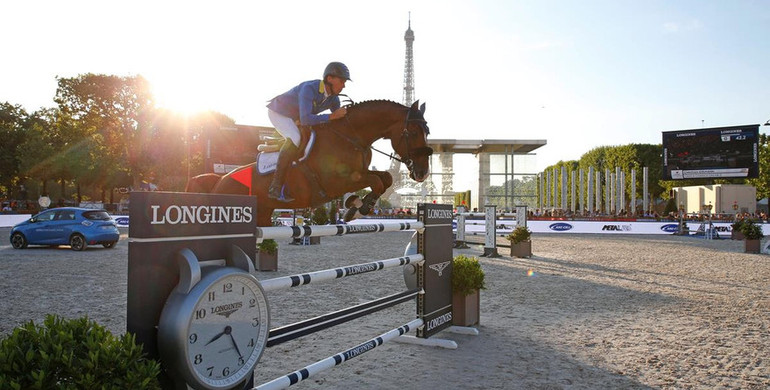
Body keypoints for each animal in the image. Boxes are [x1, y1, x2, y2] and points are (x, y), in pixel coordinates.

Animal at [184, 100, 432, 227]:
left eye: (427, 131)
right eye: (413, 131)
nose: (422, 172)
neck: (351, 136)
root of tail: (219, 180)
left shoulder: (358, 173)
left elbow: (385, 178)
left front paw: (356, 205)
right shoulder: (339, 181)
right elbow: (377, 181)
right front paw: (357, 208)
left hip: (263, 215)